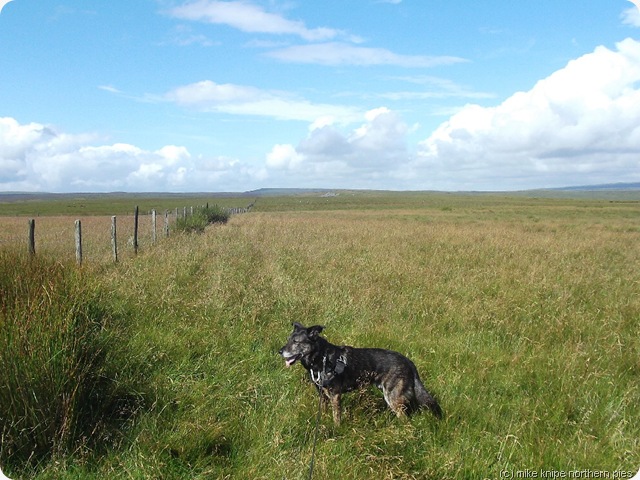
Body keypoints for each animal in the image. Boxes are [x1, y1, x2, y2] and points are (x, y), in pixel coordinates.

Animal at [278, 322, 442, 424]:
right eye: (288, 340)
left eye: (296, 342)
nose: (280, 351)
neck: (322, 357)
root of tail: (408, 361)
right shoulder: (322, 395)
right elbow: (323, 414)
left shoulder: (335, 395)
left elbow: (336, 417)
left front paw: (336, 429)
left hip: (393, 398)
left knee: (405, 418)